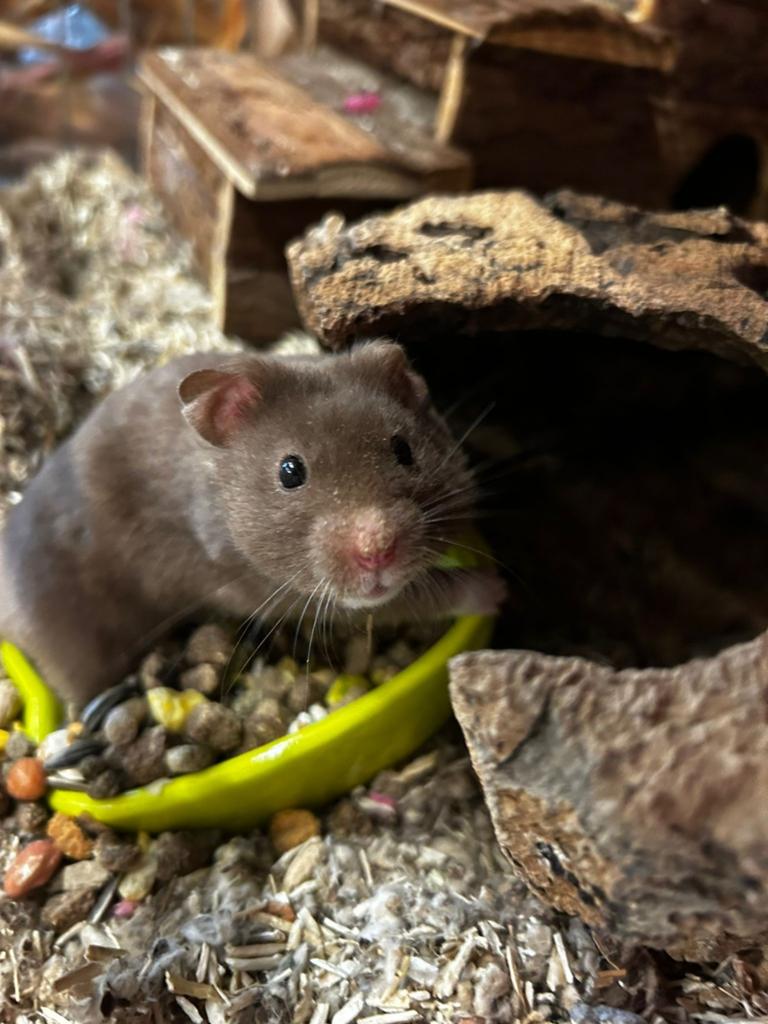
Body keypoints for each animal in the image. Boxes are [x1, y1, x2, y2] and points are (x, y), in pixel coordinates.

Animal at [0, 337, 504, 703]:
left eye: (404, 450)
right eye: (290, 472)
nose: (378, 552)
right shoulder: (275, 589)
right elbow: (416, 596)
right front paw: (497, 592)